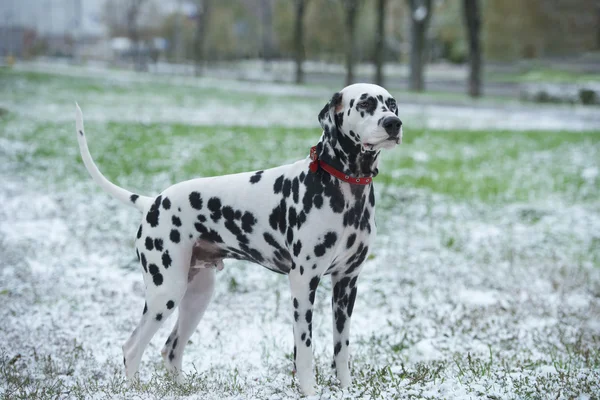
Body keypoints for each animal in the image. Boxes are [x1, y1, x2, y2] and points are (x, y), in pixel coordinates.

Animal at [75, 83, 404, 396]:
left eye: (392, 104)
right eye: (364, 103)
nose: (393, 123)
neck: (344, 189)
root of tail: (152, 202)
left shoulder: (346, 283)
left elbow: (342, 349)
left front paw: (346, 389)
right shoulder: (303, 282)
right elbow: (305, 351)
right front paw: (310, 392)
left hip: (196, 297)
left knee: (171, 349)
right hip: (165, 292)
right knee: (132, 348)